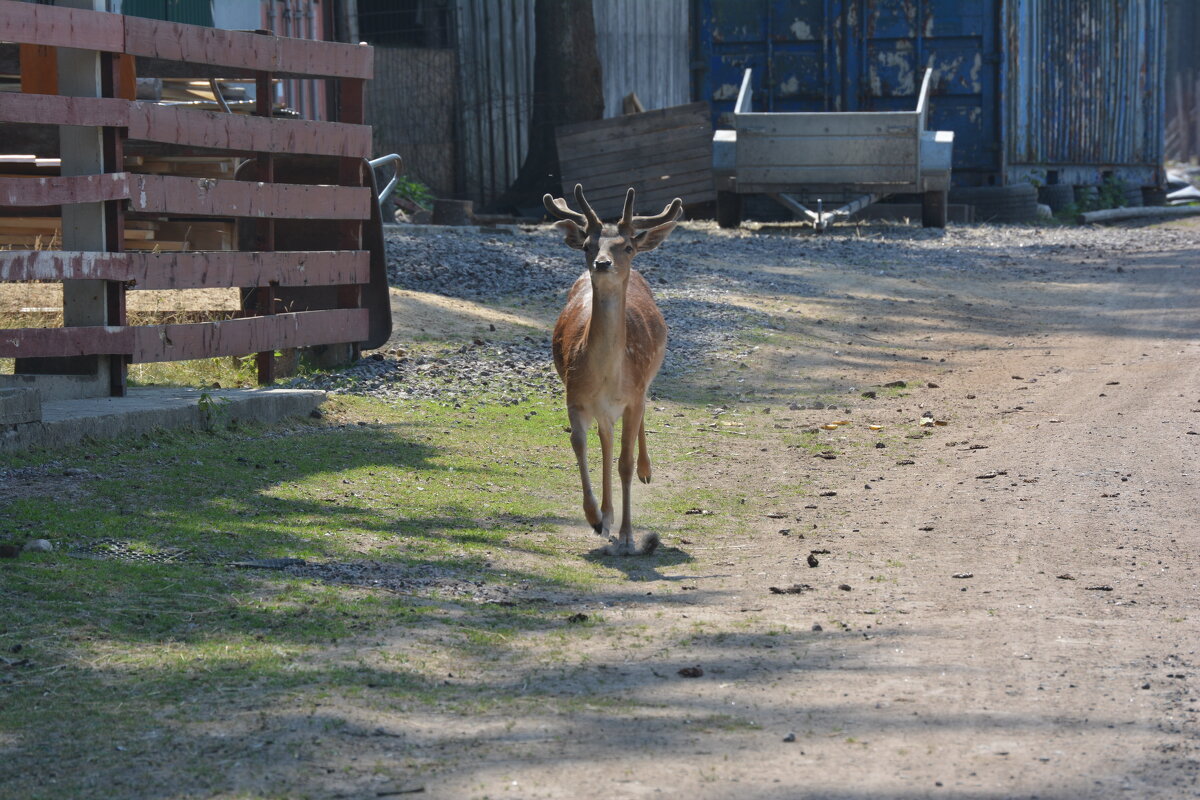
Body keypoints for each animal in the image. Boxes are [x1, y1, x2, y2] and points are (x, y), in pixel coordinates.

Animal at [547, 184, 686, 554]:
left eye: (627, 246)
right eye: (588, 245)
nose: (602, 262)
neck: (608, 377)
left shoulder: (633, 395)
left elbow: (625, 462)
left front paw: (627, 536)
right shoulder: (575, 396)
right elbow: (581, 446)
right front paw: (596, 518)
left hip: (645, 382)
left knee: (636, 429)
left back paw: (646, 471)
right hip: (604, 409)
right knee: (606, 442)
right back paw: (607, 516)